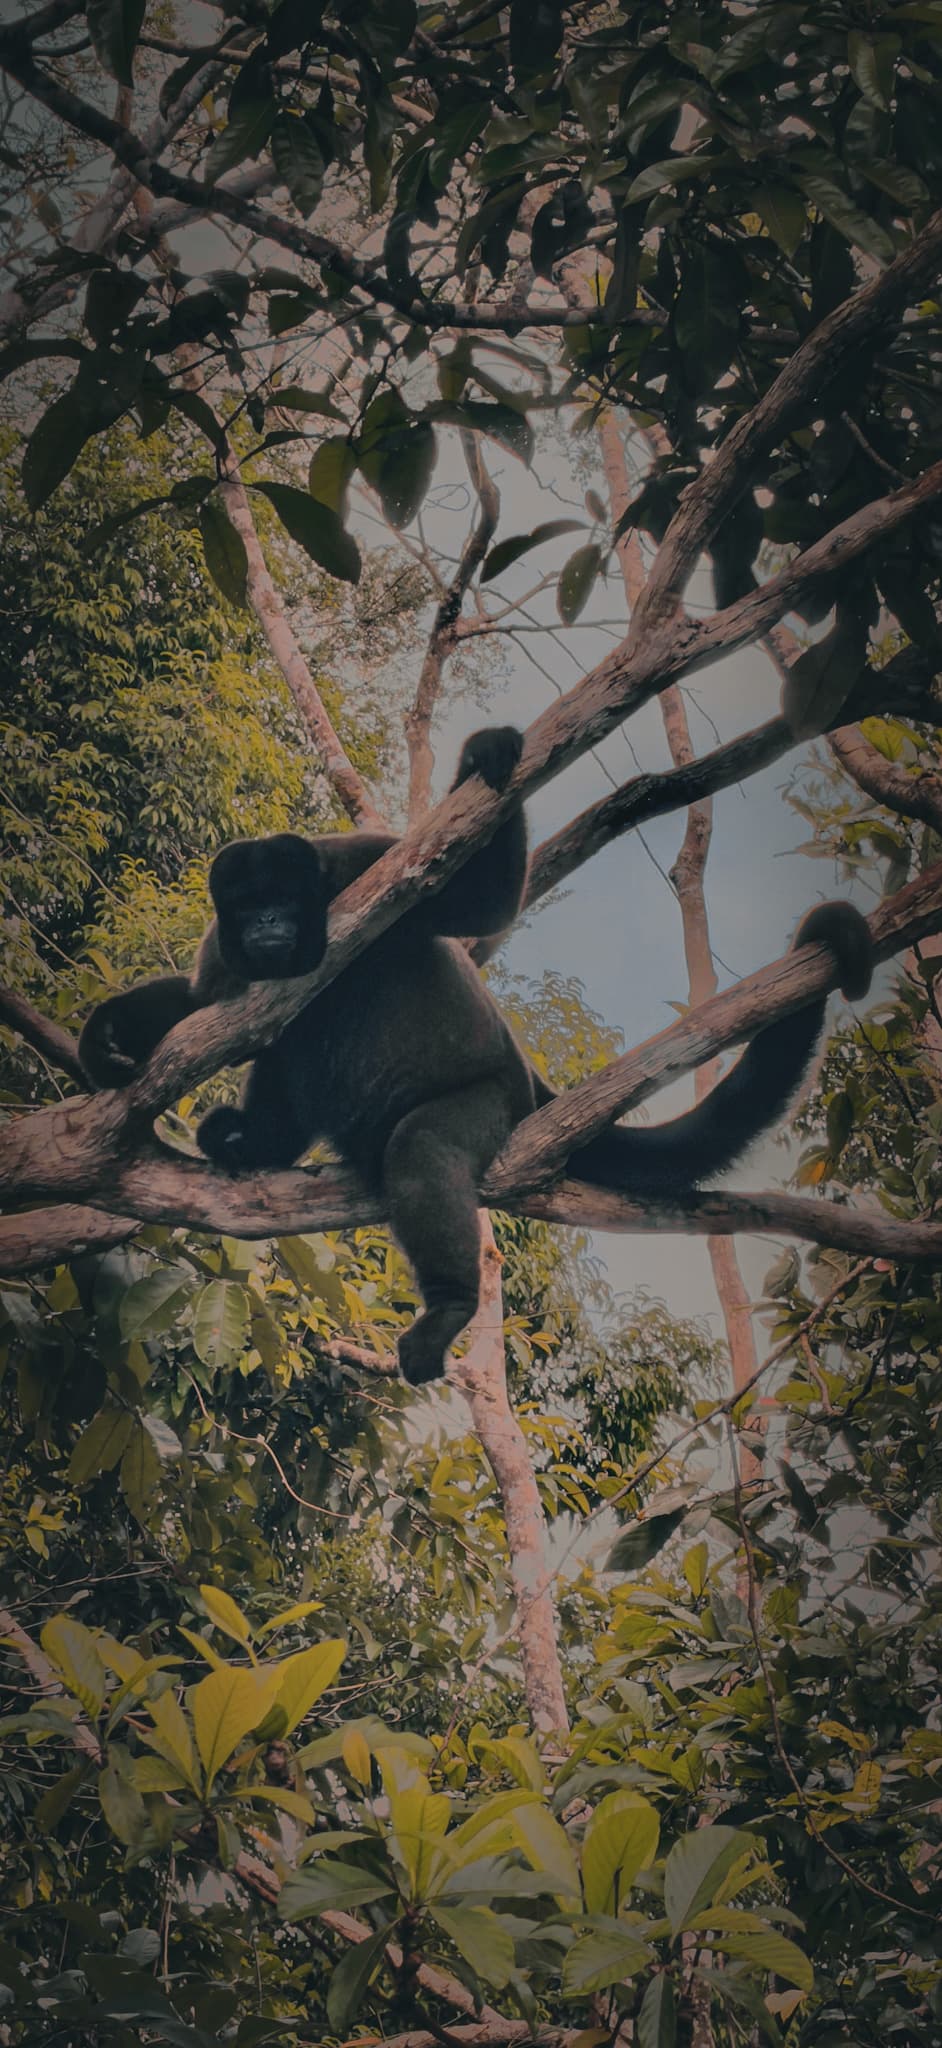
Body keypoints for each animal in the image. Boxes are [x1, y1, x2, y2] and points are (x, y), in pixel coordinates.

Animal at [79, 726, 872, 1387]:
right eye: (247, 905)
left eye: (282, 896)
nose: (269, 922)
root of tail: (529, 1083)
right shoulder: (223, 948)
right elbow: (198, 1004)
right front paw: (105, 1034)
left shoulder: (363, 862)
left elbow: (480, 905)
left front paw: (485, 756)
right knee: (290, 1044)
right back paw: (260, 1144)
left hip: (493, 1101)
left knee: (422, 1148)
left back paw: (450, 1306)